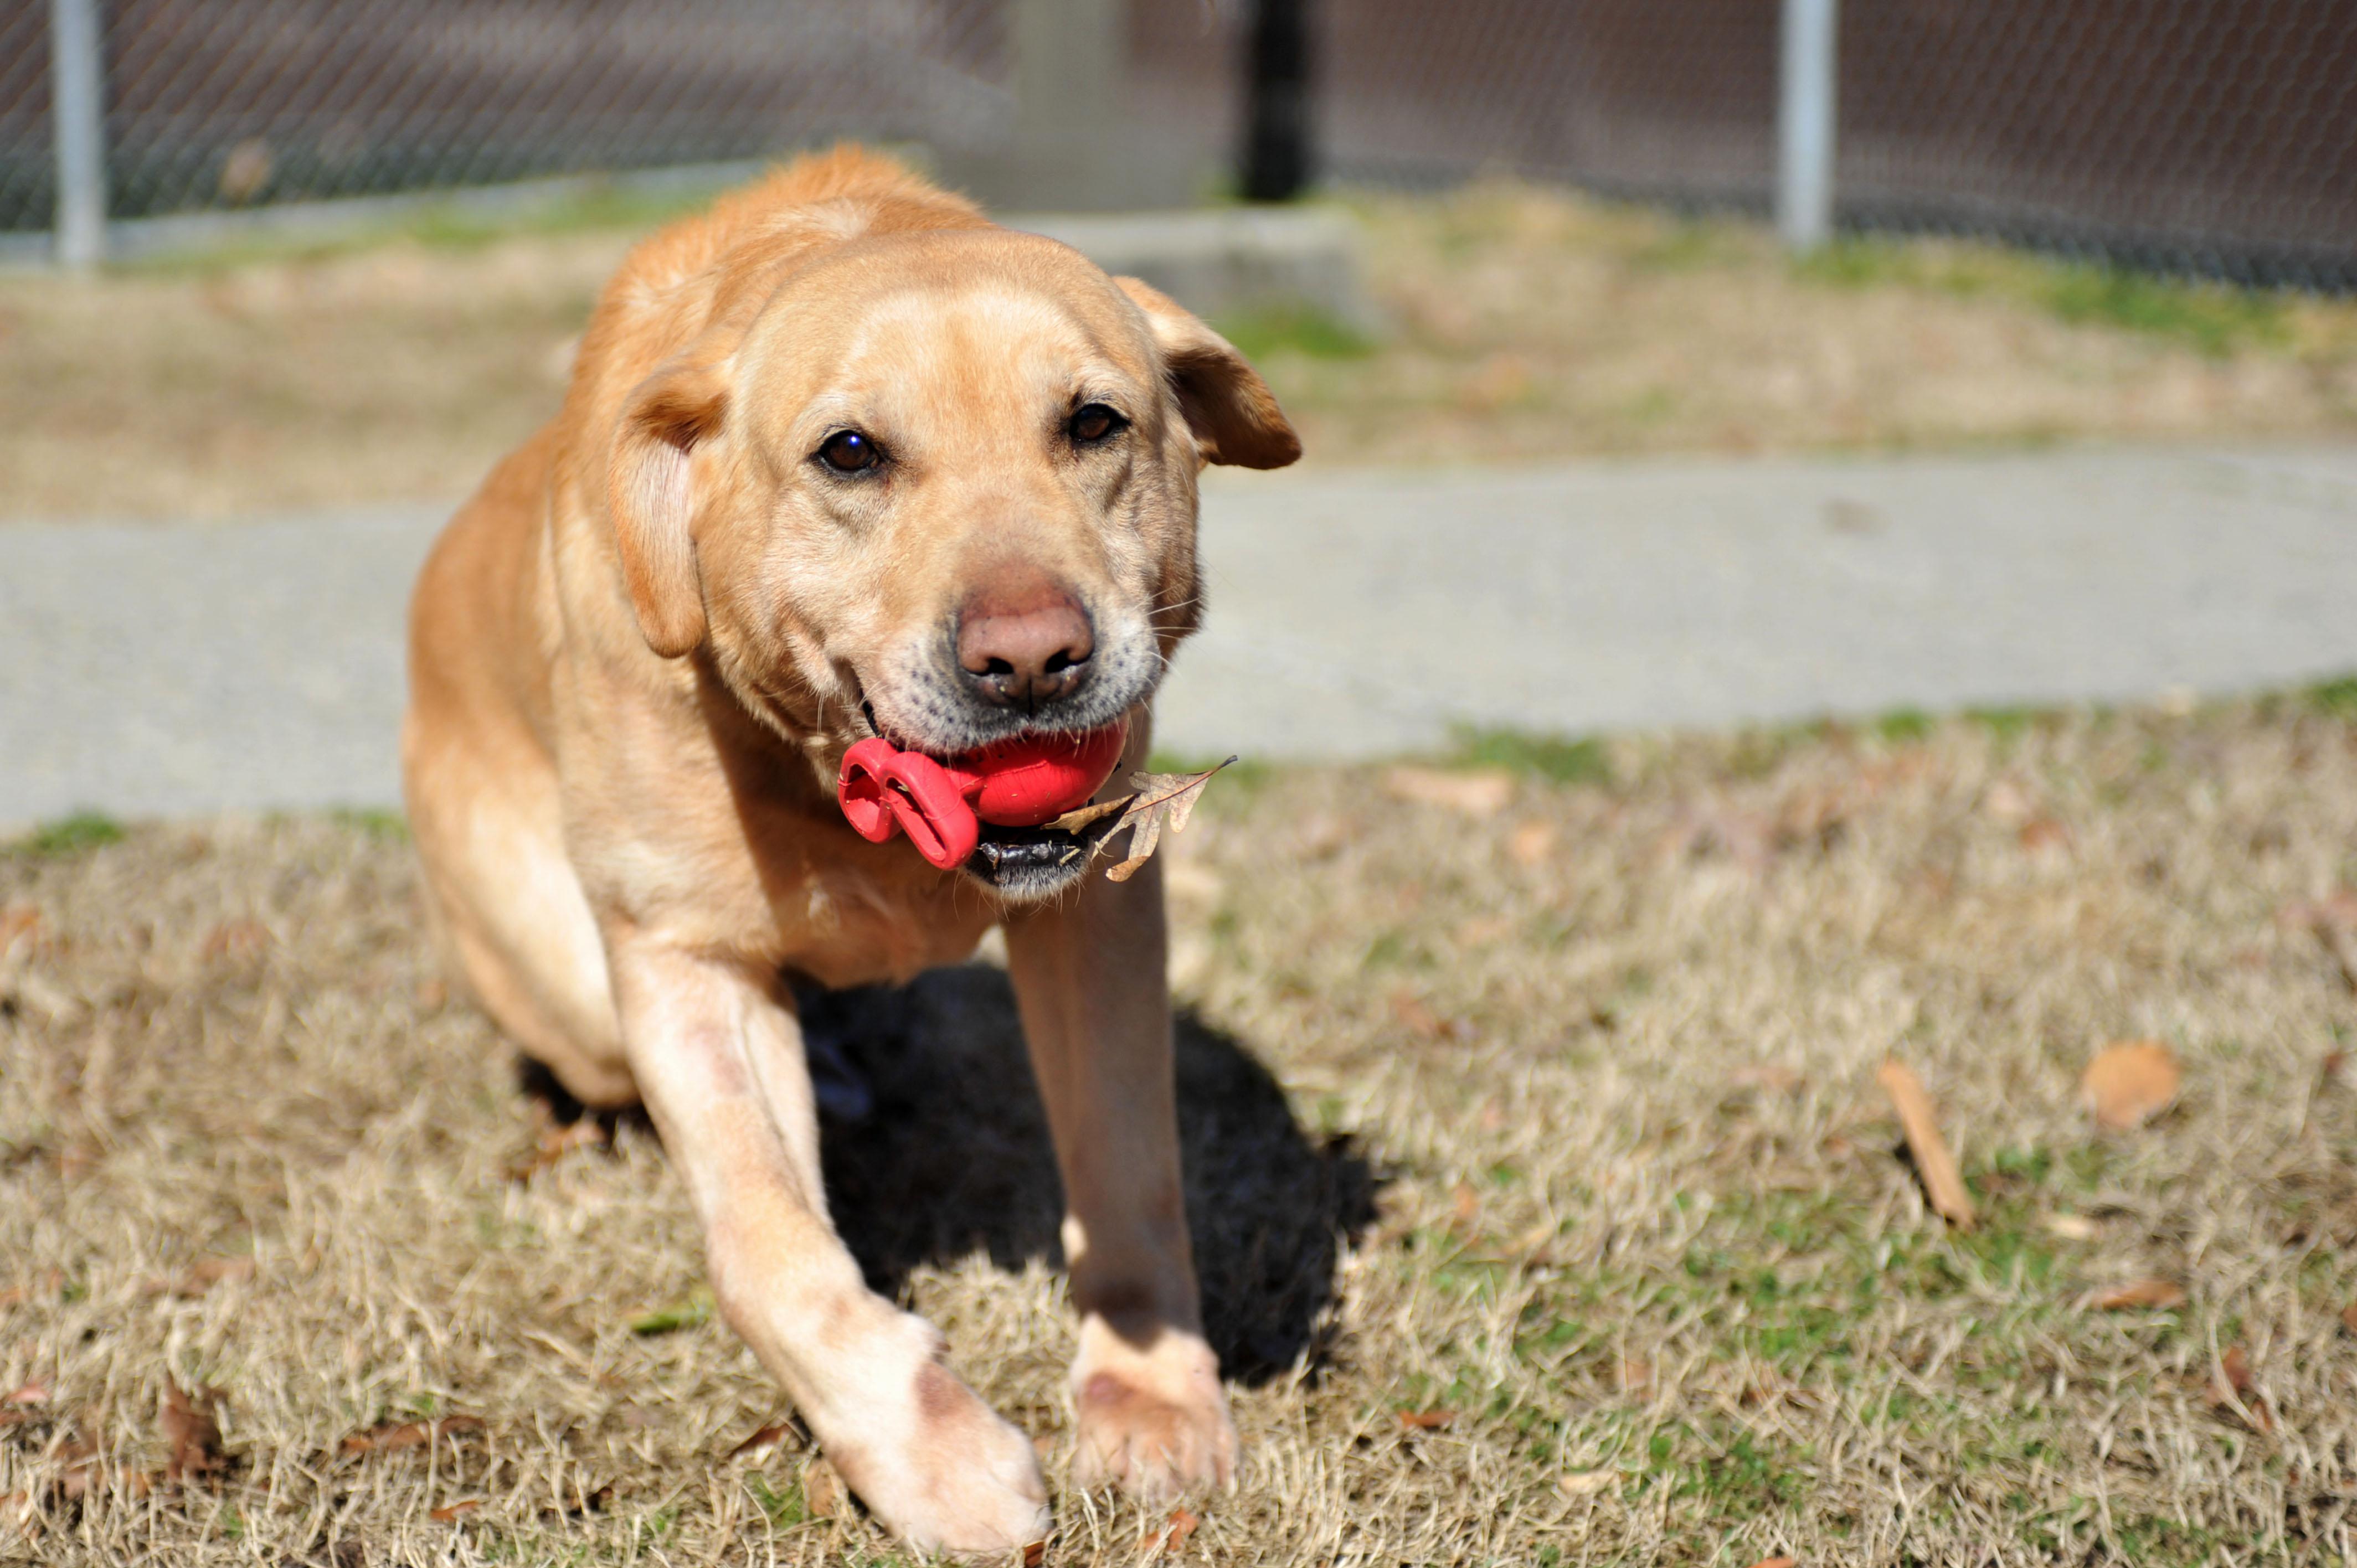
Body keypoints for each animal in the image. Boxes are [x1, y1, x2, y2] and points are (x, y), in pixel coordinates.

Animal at [398, 149, 1301, 1556]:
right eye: (853, 452)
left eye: (1095, 424)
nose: (1033, 657)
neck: (828, 784)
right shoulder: (682, 961)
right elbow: (773, 1253)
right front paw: (938, 1461)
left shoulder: (1096, 914)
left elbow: (1132, 1168)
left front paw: (1152, 1396)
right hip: (570, 991)